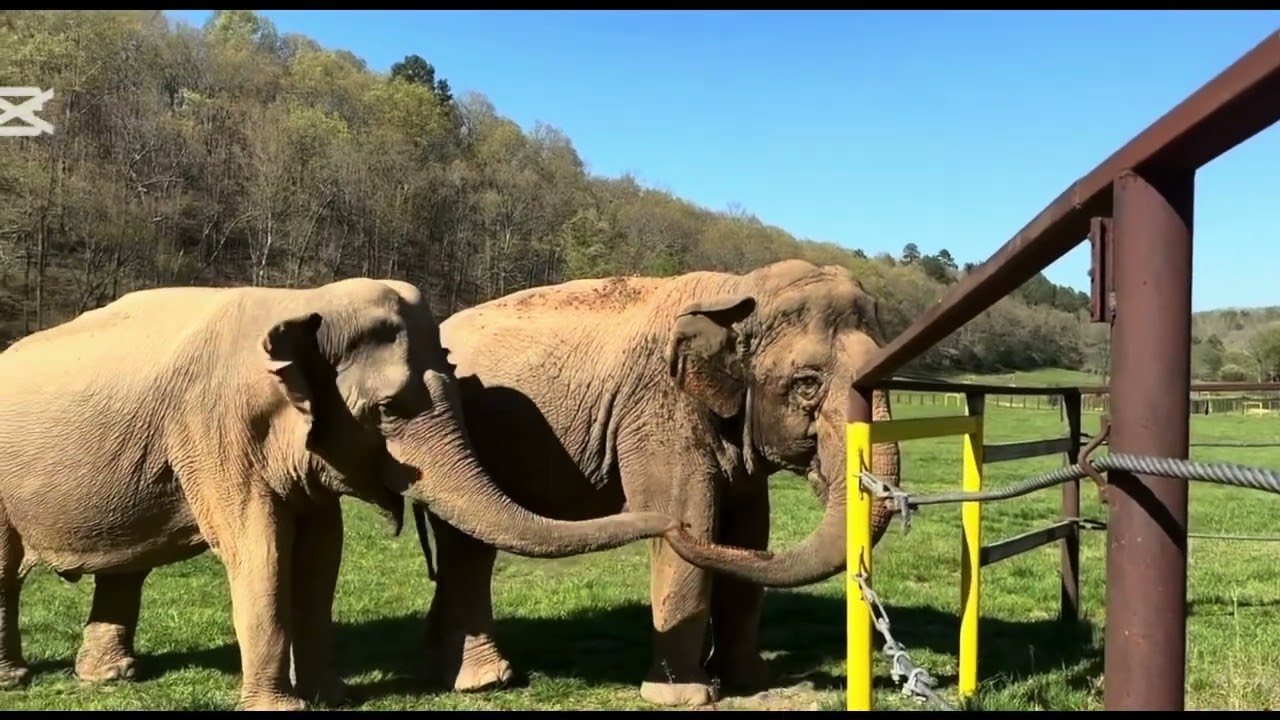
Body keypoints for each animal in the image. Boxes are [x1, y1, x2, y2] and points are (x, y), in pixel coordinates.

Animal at [0, 278, 676, 711]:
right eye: (387, 409)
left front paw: (335, 698)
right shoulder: (215, 431)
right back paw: (17, 682)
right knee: (8, 569)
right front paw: (282, 709)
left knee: (125, 568)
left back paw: (107, 679)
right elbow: (260, 552)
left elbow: (323, 554)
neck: (301, 302)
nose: (676, 523)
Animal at [414, 259, 901, 707]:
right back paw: (484, 680)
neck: (737, 290)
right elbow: (692, 517)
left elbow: (749, 533)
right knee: (468, 551)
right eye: (806, 383)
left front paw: (752, 681)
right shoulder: (658, 411)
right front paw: (682, 696)